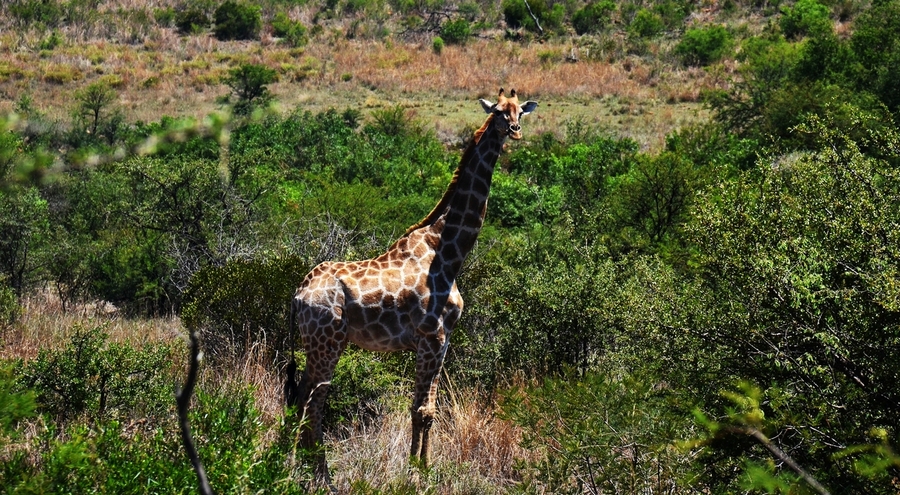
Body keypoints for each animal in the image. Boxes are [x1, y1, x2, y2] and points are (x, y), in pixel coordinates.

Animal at [286, 88, 536, 480]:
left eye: (520, 110)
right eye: (497, 112)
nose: (514, 130)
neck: (447, 252)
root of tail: (297, 296)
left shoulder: (442, 340)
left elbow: (424, 408)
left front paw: (420, 467)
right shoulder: (432, 337)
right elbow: (423, 410)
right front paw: (418, 474)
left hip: (316, 343)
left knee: (301, 397)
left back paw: (297, 464)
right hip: (329, 343)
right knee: (314, 400)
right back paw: (318, 473)